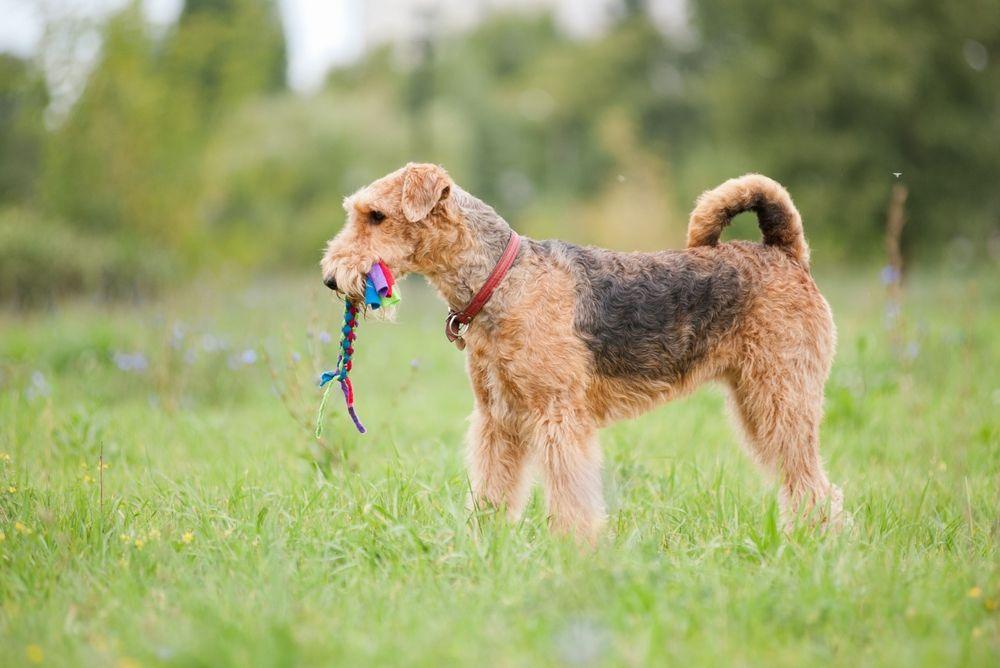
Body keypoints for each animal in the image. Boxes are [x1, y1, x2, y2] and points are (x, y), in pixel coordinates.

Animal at [322, 163, 844, 544]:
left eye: (376, 216)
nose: (330, 278)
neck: (502, 280)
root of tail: (784, 252)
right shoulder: (497, 417)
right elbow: (492, 485)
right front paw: (483, 541)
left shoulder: (558, 414)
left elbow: (569, 491)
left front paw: (573, 548)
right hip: (759, 401)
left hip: (780, 396)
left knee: (814, 483)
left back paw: (815, 542)